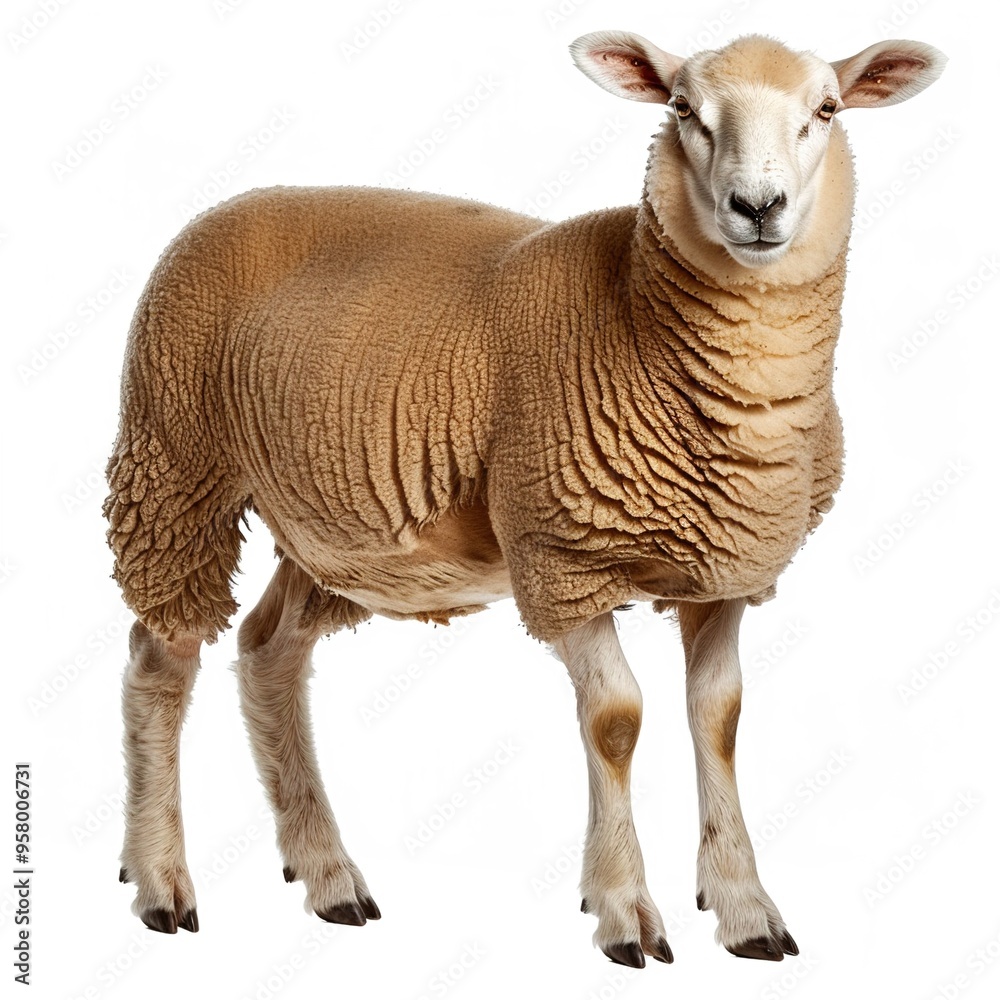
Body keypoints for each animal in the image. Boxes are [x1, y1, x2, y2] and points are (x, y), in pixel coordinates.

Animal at [104, 30, 945, 965]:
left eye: (825, 110)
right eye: (682, 109)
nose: (756, 206)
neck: (635, 315)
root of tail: (235, 200)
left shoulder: (725, 569)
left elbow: (718, 717)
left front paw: (745, 908)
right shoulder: (560, 555)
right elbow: (616, 720)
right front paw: (623, 910)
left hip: (340, 538)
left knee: (266, 651)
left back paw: (327, 875)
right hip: (174, 466)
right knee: (159, 661)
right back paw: (160, 879)